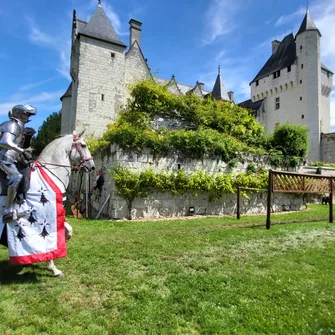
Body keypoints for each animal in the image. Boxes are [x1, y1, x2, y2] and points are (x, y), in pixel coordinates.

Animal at [0, 131, 94, 278]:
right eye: (83, 145)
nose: (92, 166)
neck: (51, 171)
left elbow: (69, 230)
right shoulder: (45, 216)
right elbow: (48, 240)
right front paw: (53, 268)